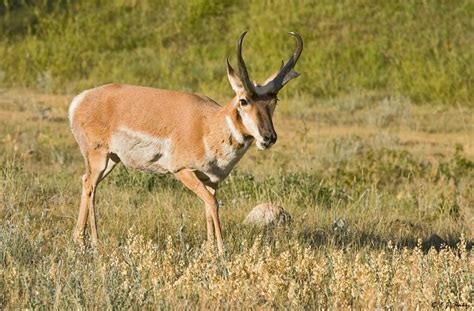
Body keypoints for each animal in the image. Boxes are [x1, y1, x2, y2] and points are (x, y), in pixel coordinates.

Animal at [68, 31, 302, 254]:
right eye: (243, 100)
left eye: (274, 100)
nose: (269, 137)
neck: (208, 125)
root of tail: (80, 99)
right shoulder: (183, 171)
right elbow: (213, 204)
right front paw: (221, 251)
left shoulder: (211, 180)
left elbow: (208, 207)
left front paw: (209, 249)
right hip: (99, 156)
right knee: (90, 186)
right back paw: (95, 242)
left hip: (112, 160)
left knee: (86, 181)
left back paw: (79, 240)